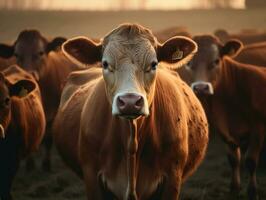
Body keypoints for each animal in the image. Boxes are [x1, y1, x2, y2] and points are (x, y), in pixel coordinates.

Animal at [0, 29, 81, 170]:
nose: (28, 73)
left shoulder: (53, 114)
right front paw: (30, 164)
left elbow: (48, 140)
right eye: (16, 54)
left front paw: (46, 165)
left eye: (40, 52)